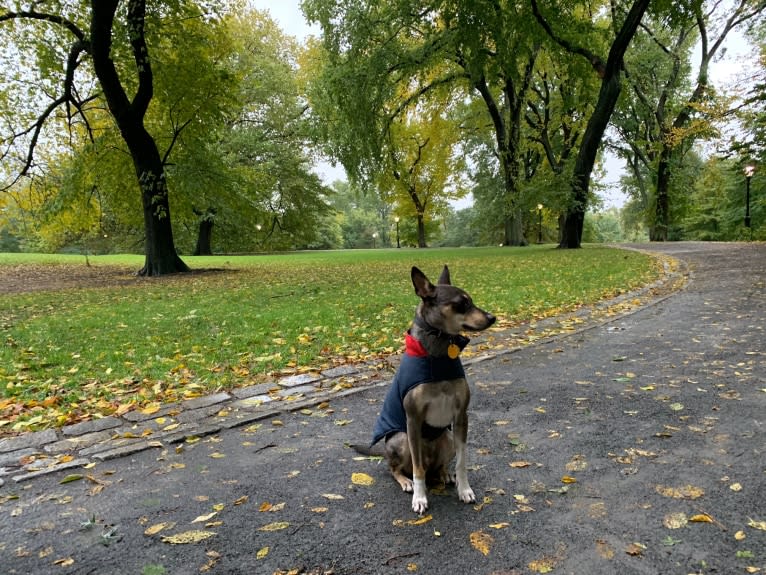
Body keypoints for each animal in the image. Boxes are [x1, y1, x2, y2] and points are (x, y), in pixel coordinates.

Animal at [370, 266, 498, 512]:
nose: (492, 317)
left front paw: (464, 489)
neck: (438, 356)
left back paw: (444, 474)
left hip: (447, 437)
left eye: (470, 301)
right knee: (397, 468)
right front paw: (419, 498)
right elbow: (418, 470)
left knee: (438, 466)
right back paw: (406, 481)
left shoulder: (460, 417)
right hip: (402, 439)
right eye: (461, 303)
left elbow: (461, 462)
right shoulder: (413, 420)